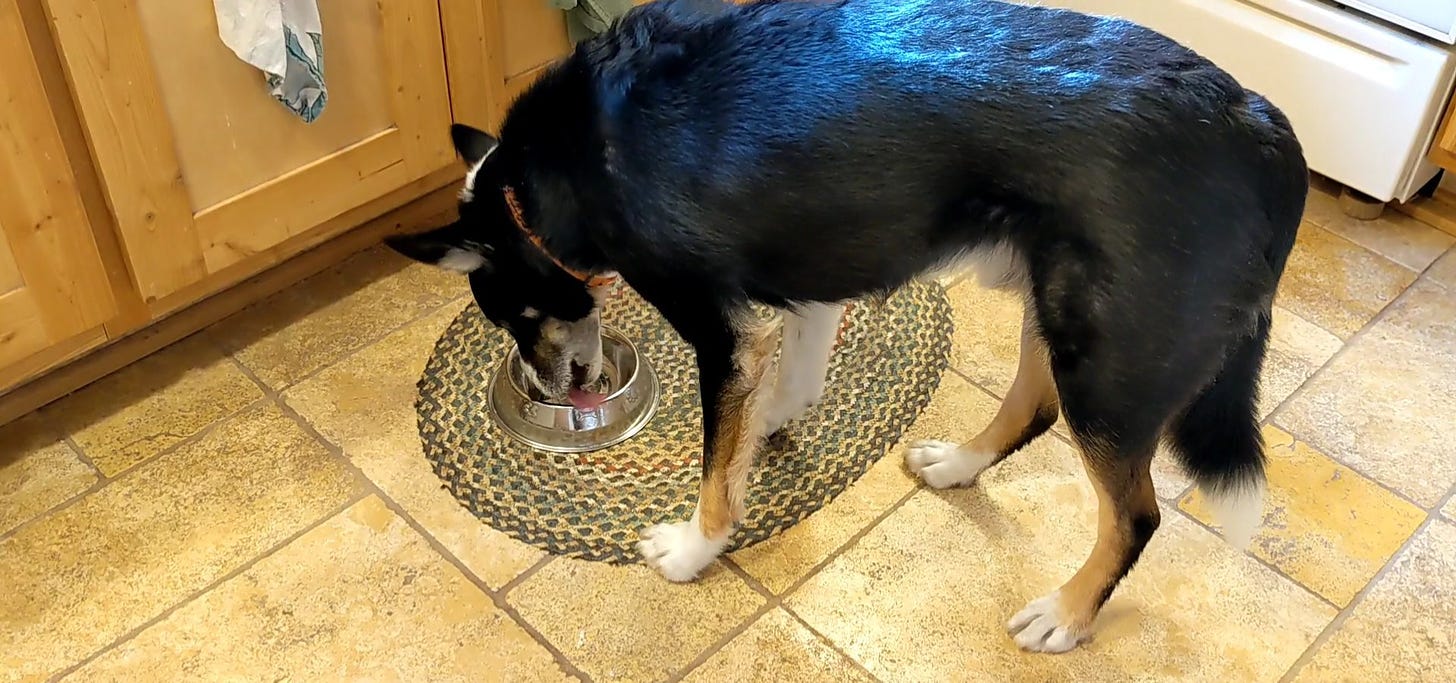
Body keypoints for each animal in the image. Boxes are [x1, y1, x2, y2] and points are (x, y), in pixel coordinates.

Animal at [387, 0, 1310, 649]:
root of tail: (1262, 124)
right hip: (1057, 308)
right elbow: (790, 380)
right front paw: (773, 427)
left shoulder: (721, 332)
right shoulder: (813, 280)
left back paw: (1066, 613)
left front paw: (692, 550)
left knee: (1135, 513)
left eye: (513, 316)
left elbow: (715, 469)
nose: (551, 385)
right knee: (1032, 406)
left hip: (1107, 358)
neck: (540, 178)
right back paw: (957, 465)